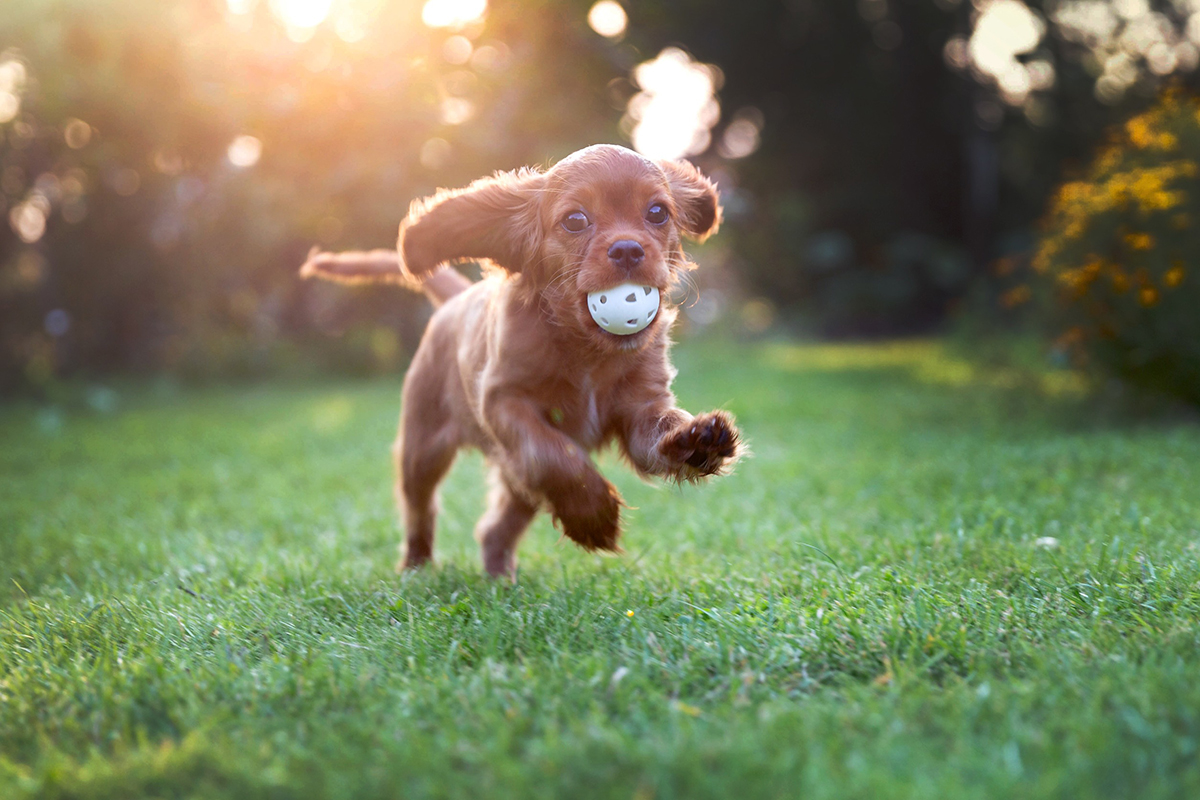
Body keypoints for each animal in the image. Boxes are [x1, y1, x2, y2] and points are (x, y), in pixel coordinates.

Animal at [300, 143, 739, 578]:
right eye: (575, 220)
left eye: (657, 212)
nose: (628, 249)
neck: (586, 351)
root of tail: (456, 299)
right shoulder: (504, 402)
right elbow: (552, 454)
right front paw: (593, 515)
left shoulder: (640, 408)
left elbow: (655, 435)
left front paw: (697, 440)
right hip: (422, 448)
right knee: (420, 509)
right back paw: (417, 567)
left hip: (512, 481)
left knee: (495, 528)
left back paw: (500, 579)